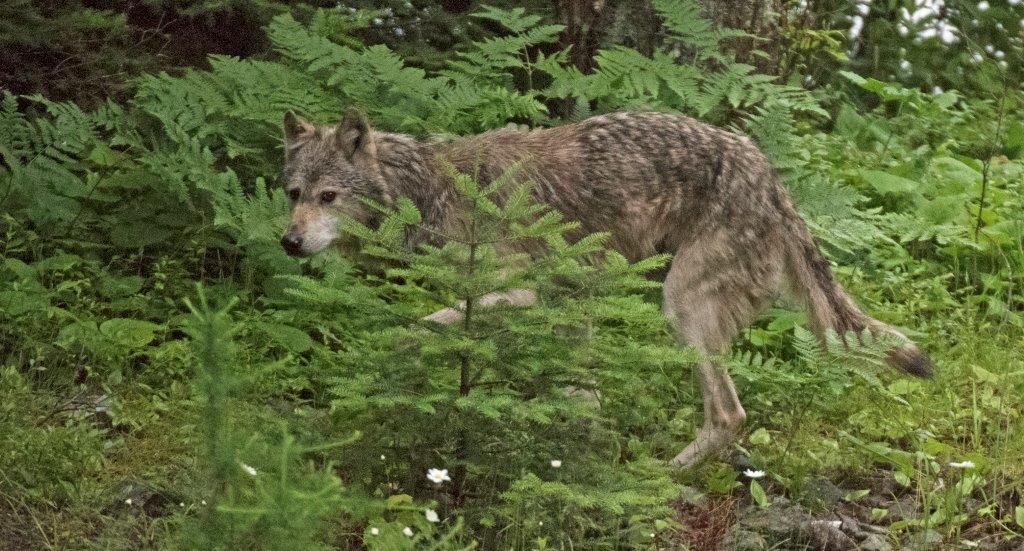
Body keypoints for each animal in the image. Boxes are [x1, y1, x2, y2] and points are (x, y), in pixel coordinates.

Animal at [279, 108, 933, 467]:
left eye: (329, 197)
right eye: (294, 194)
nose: (288, 242)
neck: (430, 193)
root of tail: (774, 182)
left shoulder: (533, 295)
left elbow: (417, 327)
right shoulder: (572, 306)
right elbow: (583, 396)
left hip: (680, 308)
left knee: (730, 414)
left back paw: (662, 477)